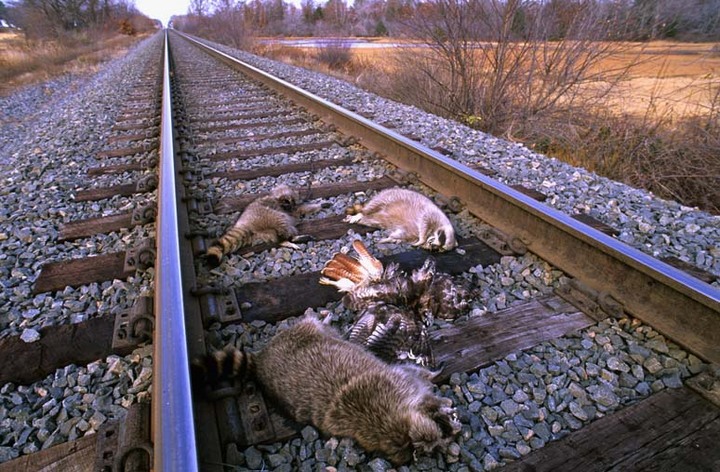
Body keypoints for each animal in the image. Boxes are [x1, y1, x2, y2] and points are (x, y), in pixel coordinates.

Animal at [195, 315, 460, 465]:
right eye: (444, 429)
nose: (456, 427)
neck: (390, 423)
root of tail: (261, 358)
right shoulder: (396, 383)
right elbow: (411, 372)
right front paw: (435, 384)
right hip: (301, 332)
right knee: (317, 326)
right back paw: (323, 319)